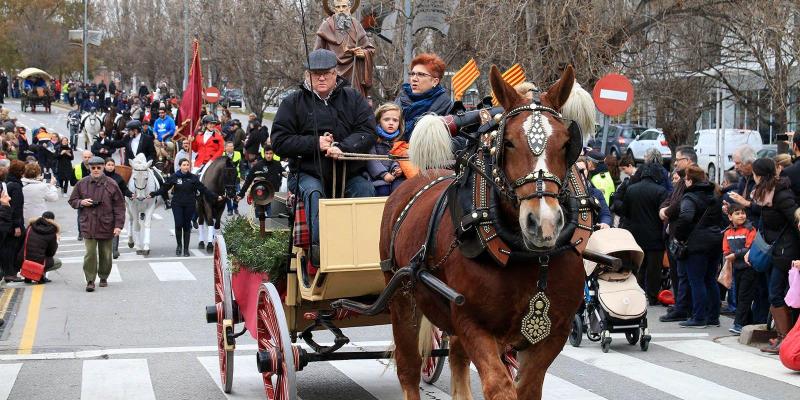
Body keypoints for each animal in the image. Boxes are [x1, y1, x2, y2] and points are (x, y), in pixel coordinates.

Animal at [382, 66, 588, 400]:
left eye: (566, 143)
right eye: (509, 143)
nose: (543, 224)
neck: (528, 257)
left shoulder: (555, 331)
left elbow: (526, 388)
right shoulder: (472, 323)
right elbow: (500, 387)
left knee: (455, 359)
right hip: (401, 298)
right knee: (408, 367)